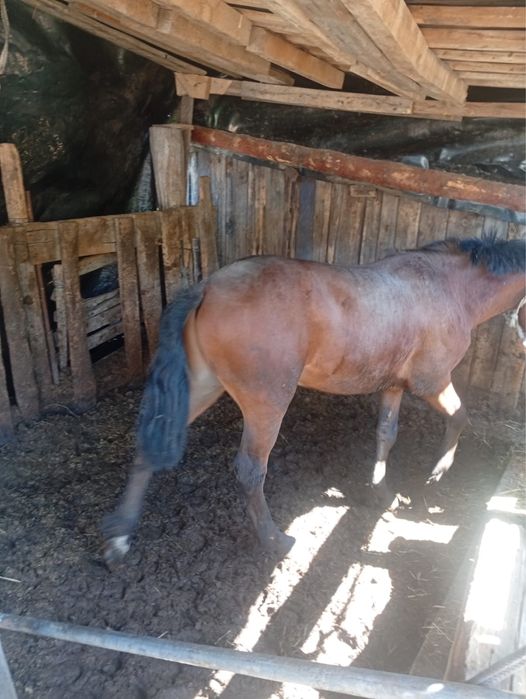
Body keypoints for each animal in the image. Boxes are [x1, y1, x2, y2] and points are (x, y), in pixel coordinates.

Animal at [103, 235, 526, 564]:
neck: (447, 286)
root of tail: (206, 287)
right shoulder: (433, 383)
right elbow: (459, 418)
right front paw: (436, 473)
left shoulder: (393, 387)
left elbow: (386, 435)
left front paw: (381, 490)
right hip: (267, 402)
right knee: (250, 470)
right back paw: (275, 540)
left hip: (203, 386)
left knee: (148, 448)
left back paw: (119, 539)